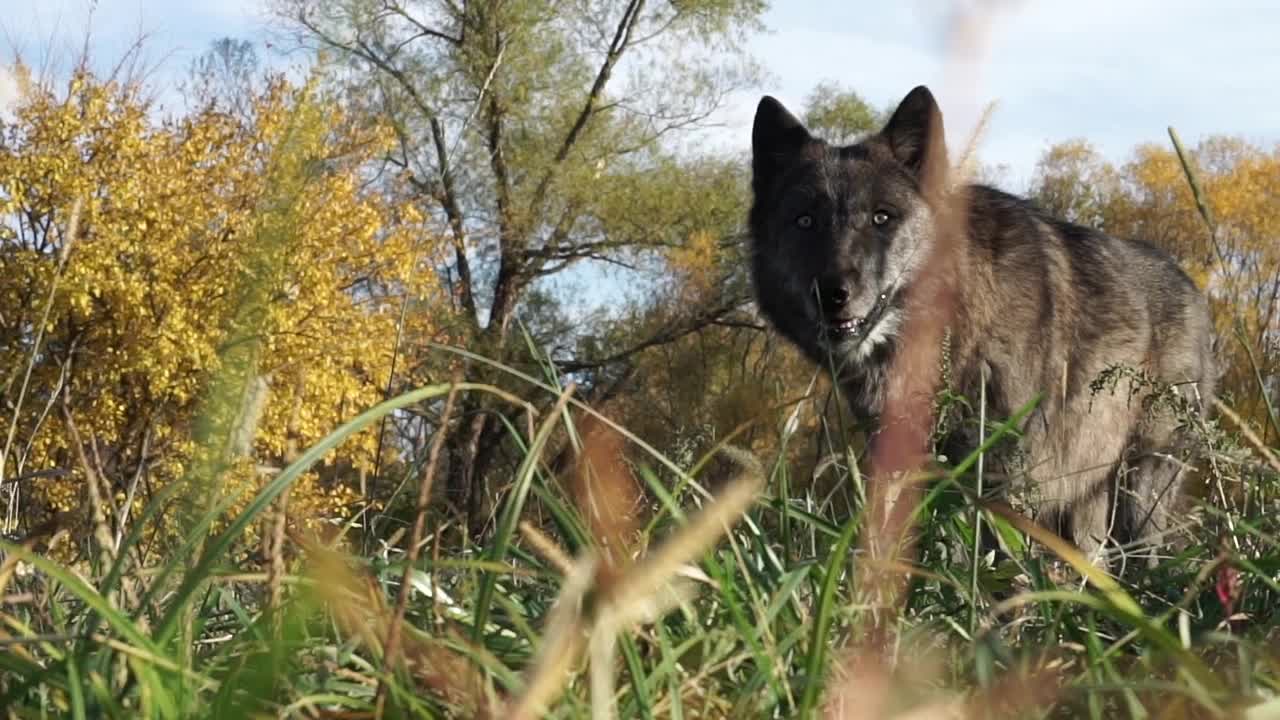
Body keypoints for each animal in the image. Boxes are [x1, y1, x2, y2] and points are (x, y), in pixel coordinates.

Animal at [747, 85, 1218, 566]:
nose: (831, 292)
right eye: (805, 221)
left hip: (1140, 490)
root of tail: (1192, 287)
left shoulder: (1002, 478)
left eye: (882, 217)